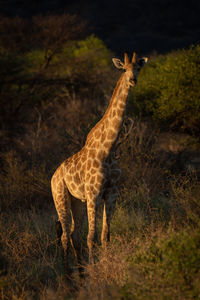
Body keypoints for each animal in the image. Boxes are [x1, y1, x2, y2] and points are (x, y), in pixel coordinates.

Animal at [51, 52, 148, 274]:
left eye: (138, 68)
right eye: (124, 69)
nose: (133, 80)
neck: (109, 148)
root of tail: (53, 176)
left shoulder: (111, 193)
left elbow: (105, 236)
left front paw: (104, 266)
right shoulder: (94, 193)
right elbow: (92, 238)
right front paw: (97, 271)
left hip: (77, 202)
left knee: (73, 234)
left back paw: (80, 273)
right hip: (60, 197)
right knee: (65, 236)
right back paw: (67, 276)